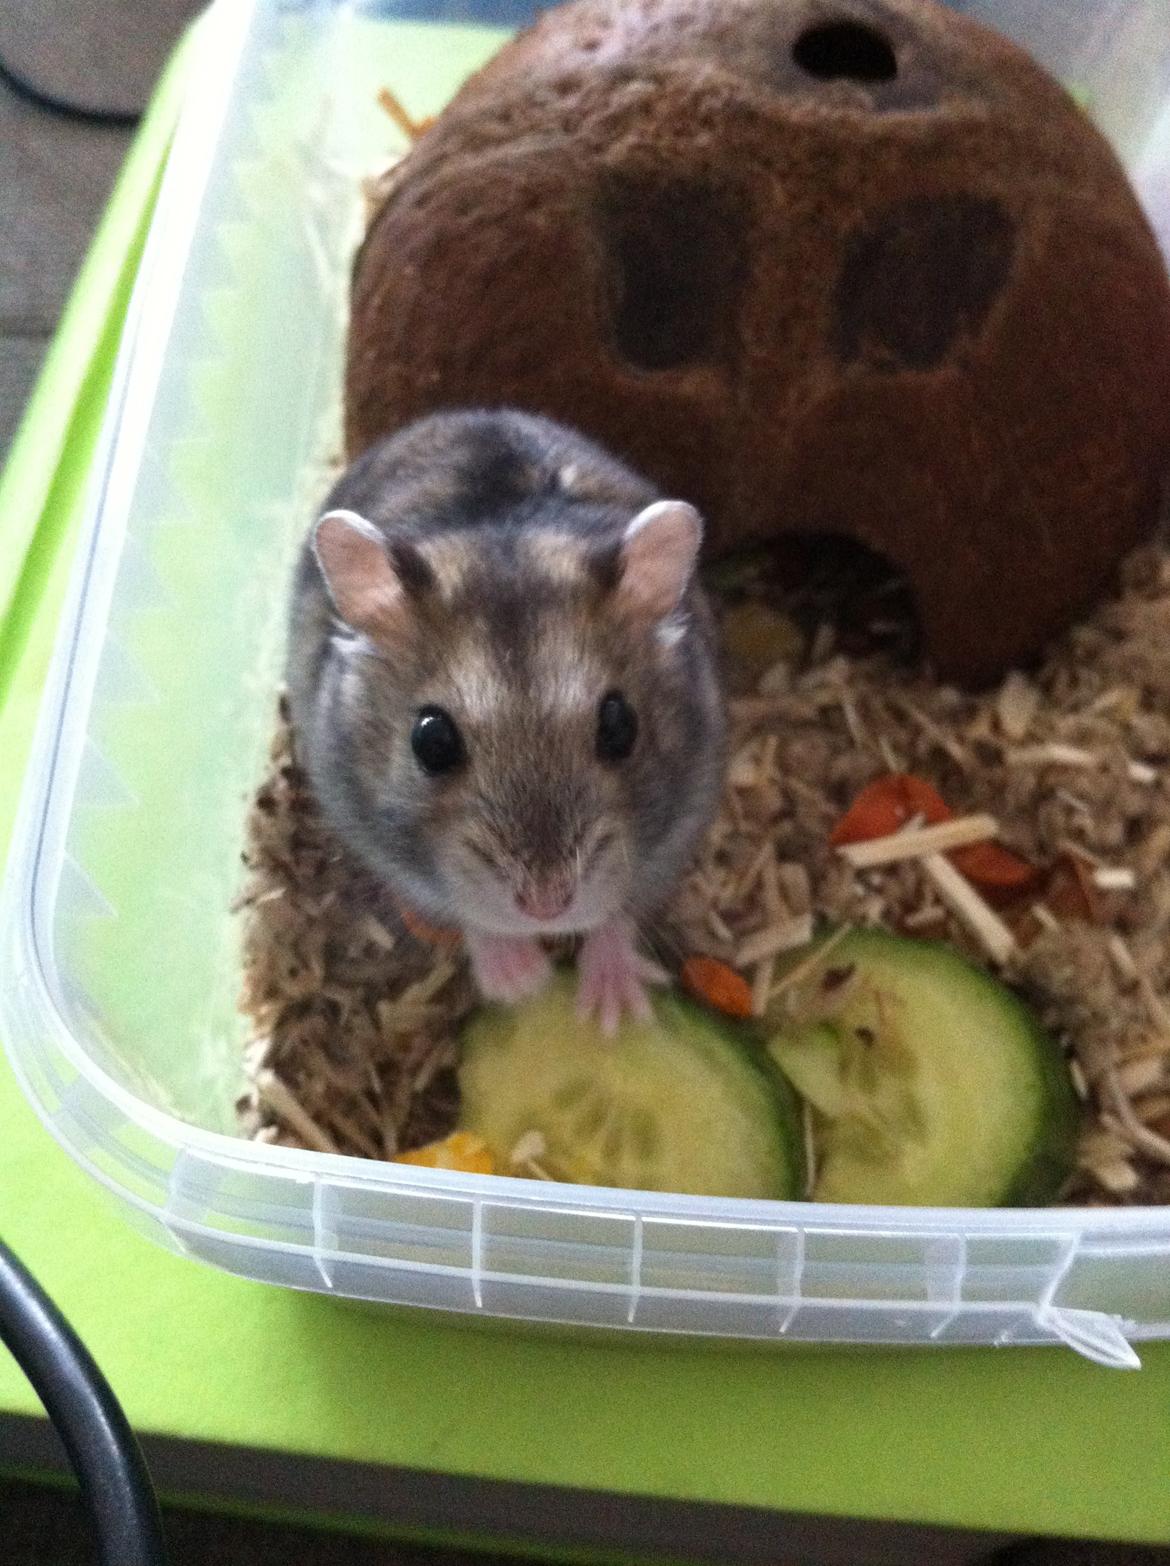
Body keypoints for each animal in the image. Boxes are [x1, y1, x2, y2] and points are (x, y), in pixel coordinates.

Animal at [286, 409, 726, 1034]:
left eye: (620, 727)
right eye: (431, 740)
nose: (547, 906)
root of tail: (474, 409)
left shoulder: (680, 830)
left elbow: (620, 914)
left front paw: (613, 1016)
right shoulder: (377, 844)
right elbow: (472, 917)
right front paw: (524, 985)